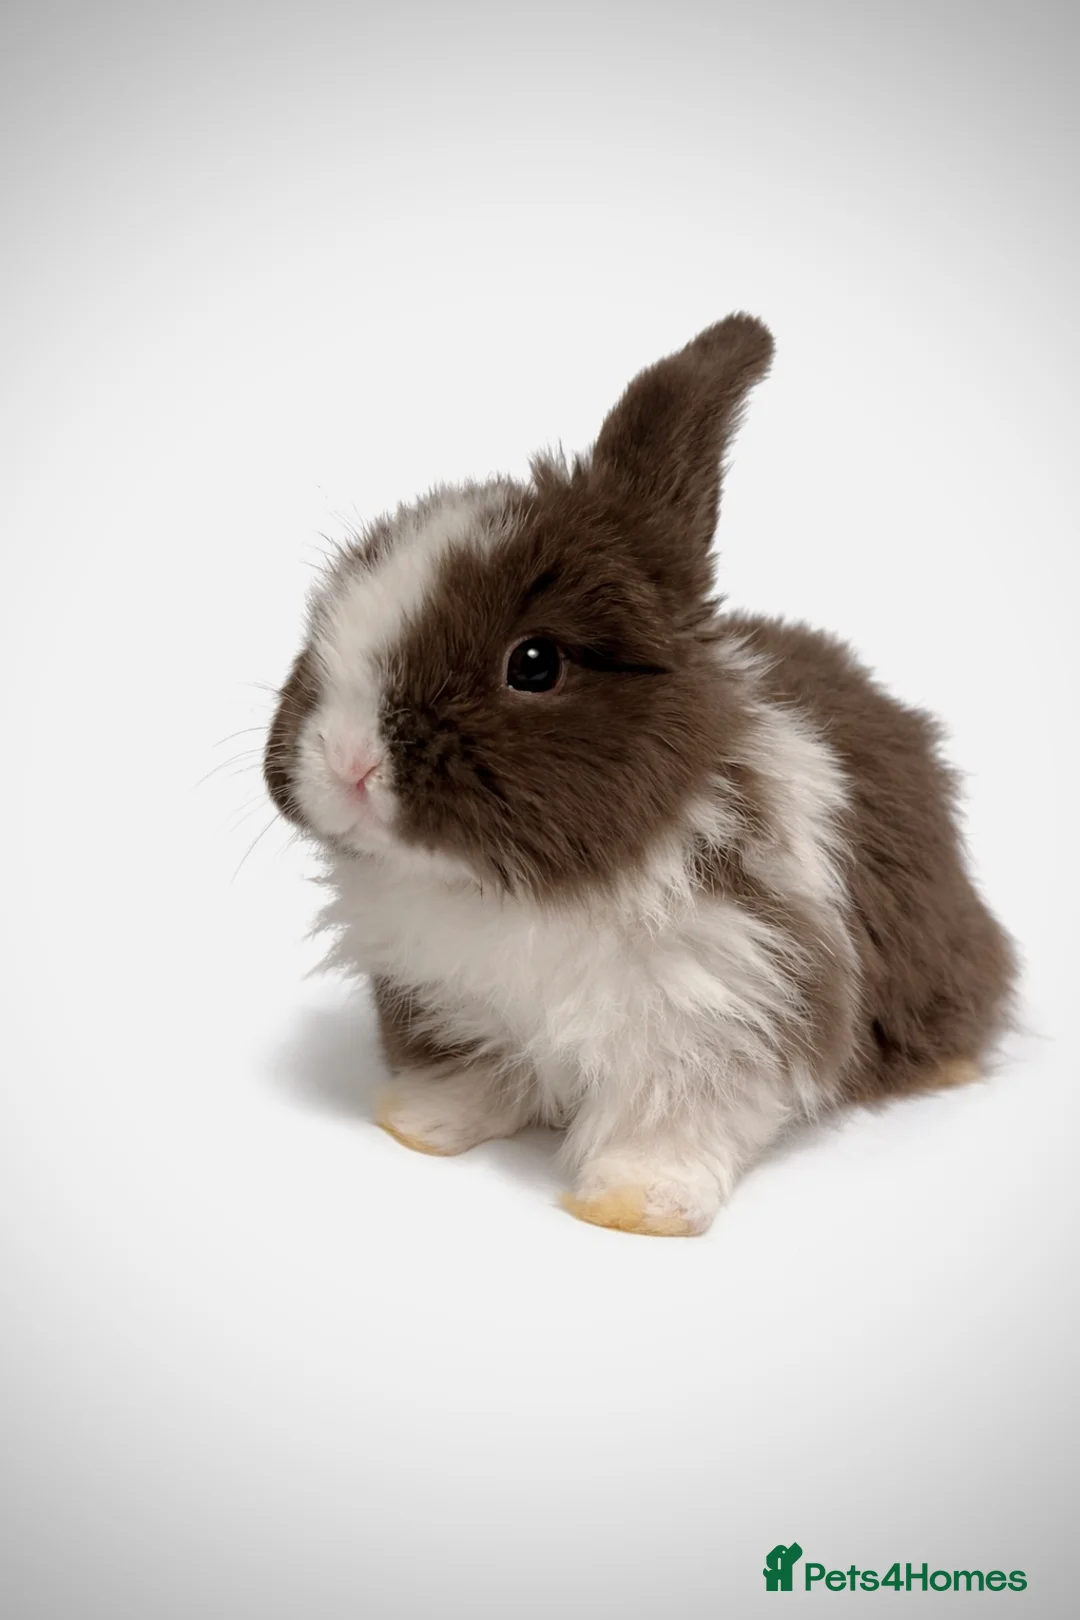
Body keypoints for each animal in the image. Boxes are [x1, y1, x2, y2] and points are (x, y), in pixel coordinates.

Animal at [264, 314, 1016, 1237]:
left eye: (535, 664)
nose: (347, 762)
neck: (521, 892)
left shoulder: (733, 1005)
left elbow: (672, 1118)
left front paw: (635, 1206)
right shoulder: (441, 992)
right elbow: (476, 1069)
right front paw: (420, 1125)